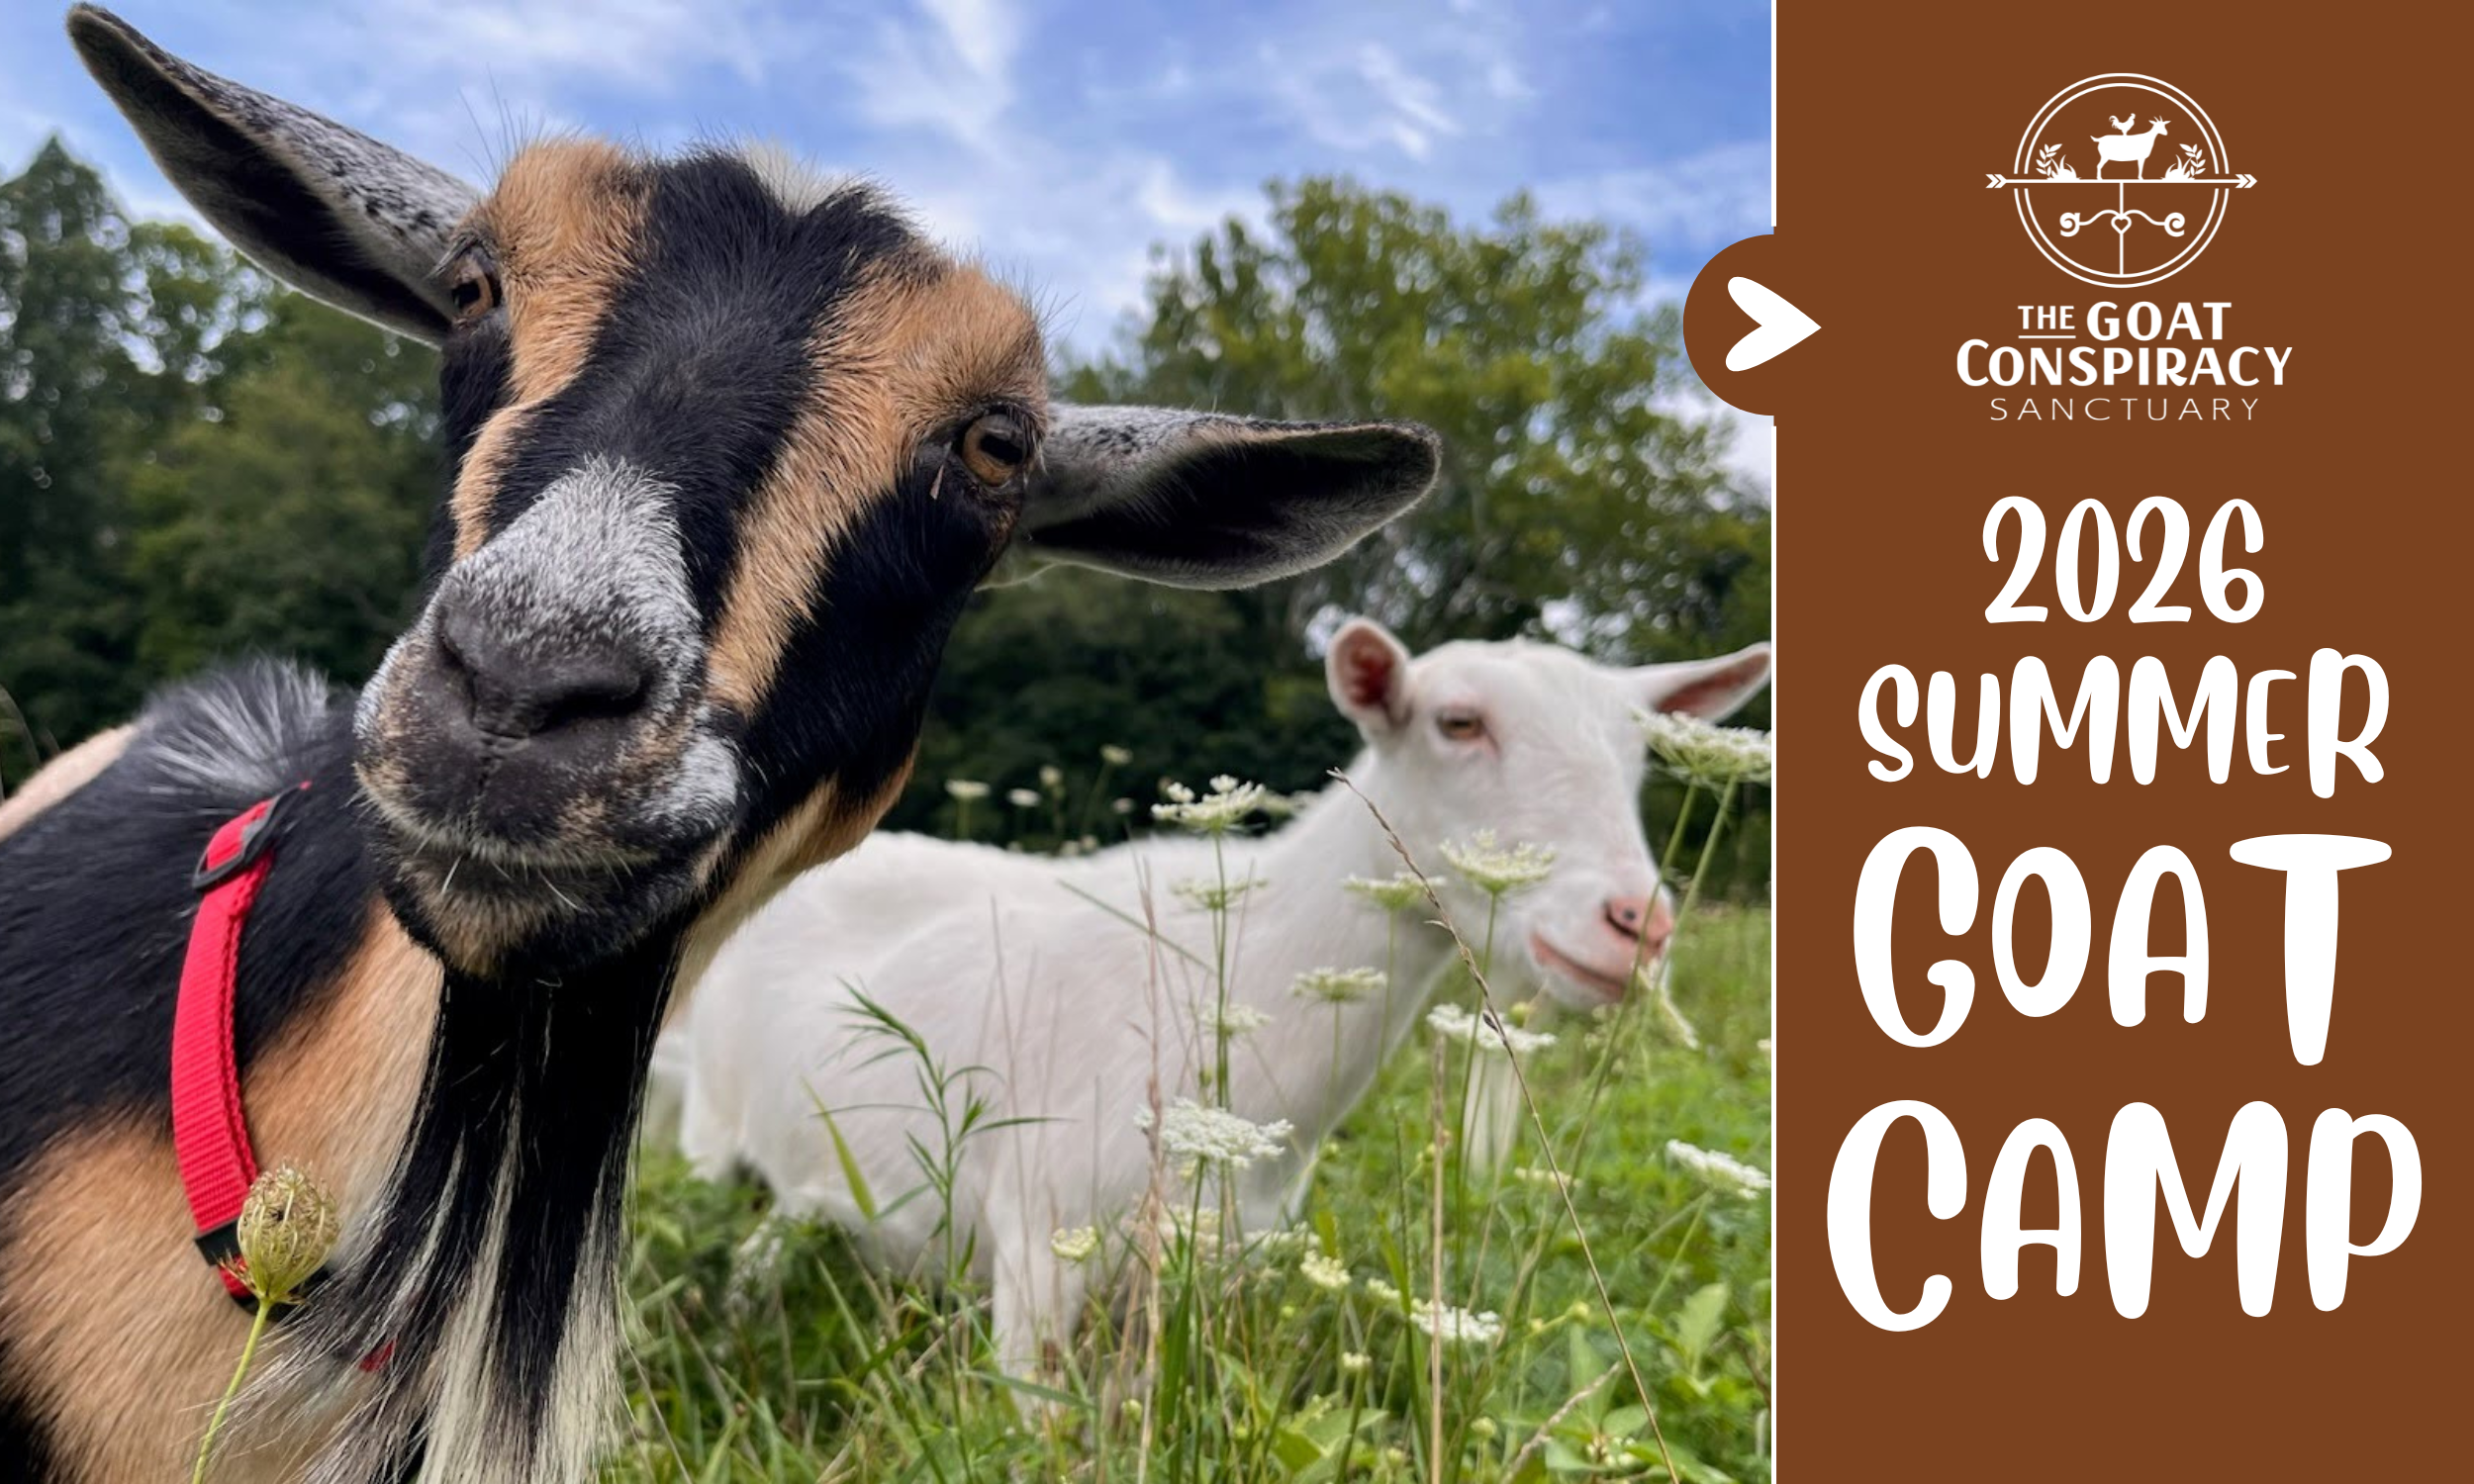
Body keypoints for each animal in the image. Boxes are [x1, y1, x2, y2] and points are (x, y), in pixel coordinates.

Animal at [663, 619, 1771, 1381]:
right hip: (709, 1126)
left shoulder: (1227, 1261)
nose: (1633, 923)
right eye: (1457, 722)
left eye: (1642, 751)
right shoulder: (1038, 1241)